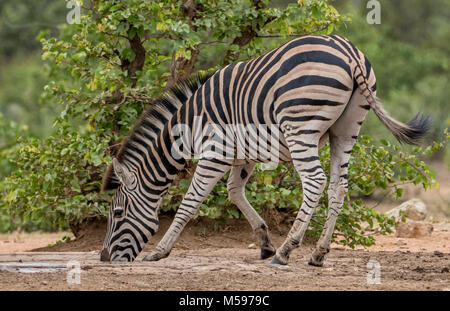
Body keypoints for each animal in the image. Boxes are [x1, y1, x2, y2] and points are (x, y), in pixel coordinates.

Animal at [100, 36, 430, 266]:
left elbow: (191, 202)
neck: (189, 124)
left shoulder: (215, 151)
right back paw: (318, 253)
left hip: (300, 126)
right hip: (346, 129)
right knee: (338, 186)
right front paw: (263, 241)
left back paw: (286, 251)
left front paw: (159, 251)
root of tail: (349, 52)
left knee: (315, 182)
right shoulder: (243, 153)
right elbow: (234, 191)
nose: (103, 258)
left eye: (117, 213)